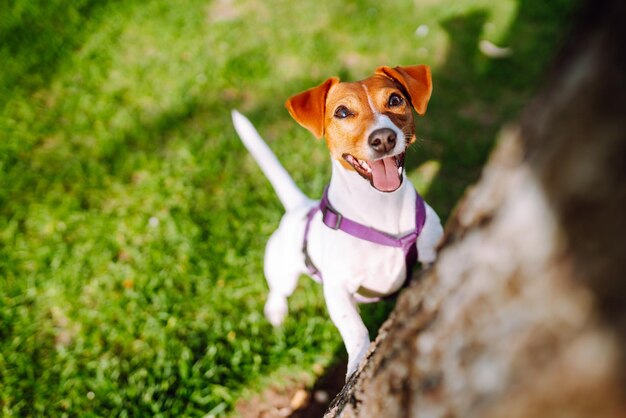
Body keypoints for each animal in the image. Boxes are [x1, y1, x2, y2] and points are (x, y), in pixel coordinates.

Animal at [232, 64, 442, 378]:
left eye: (395, 100)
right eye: (342, 112)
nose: (383, 138)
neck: (380, 206)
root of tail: (299, 205)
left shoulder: (430, 253)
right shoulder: (337, 289)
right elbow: (354, 328)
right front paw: (356, 361)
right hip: (283, 271)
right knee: (278, 291)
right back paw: (276, 311)